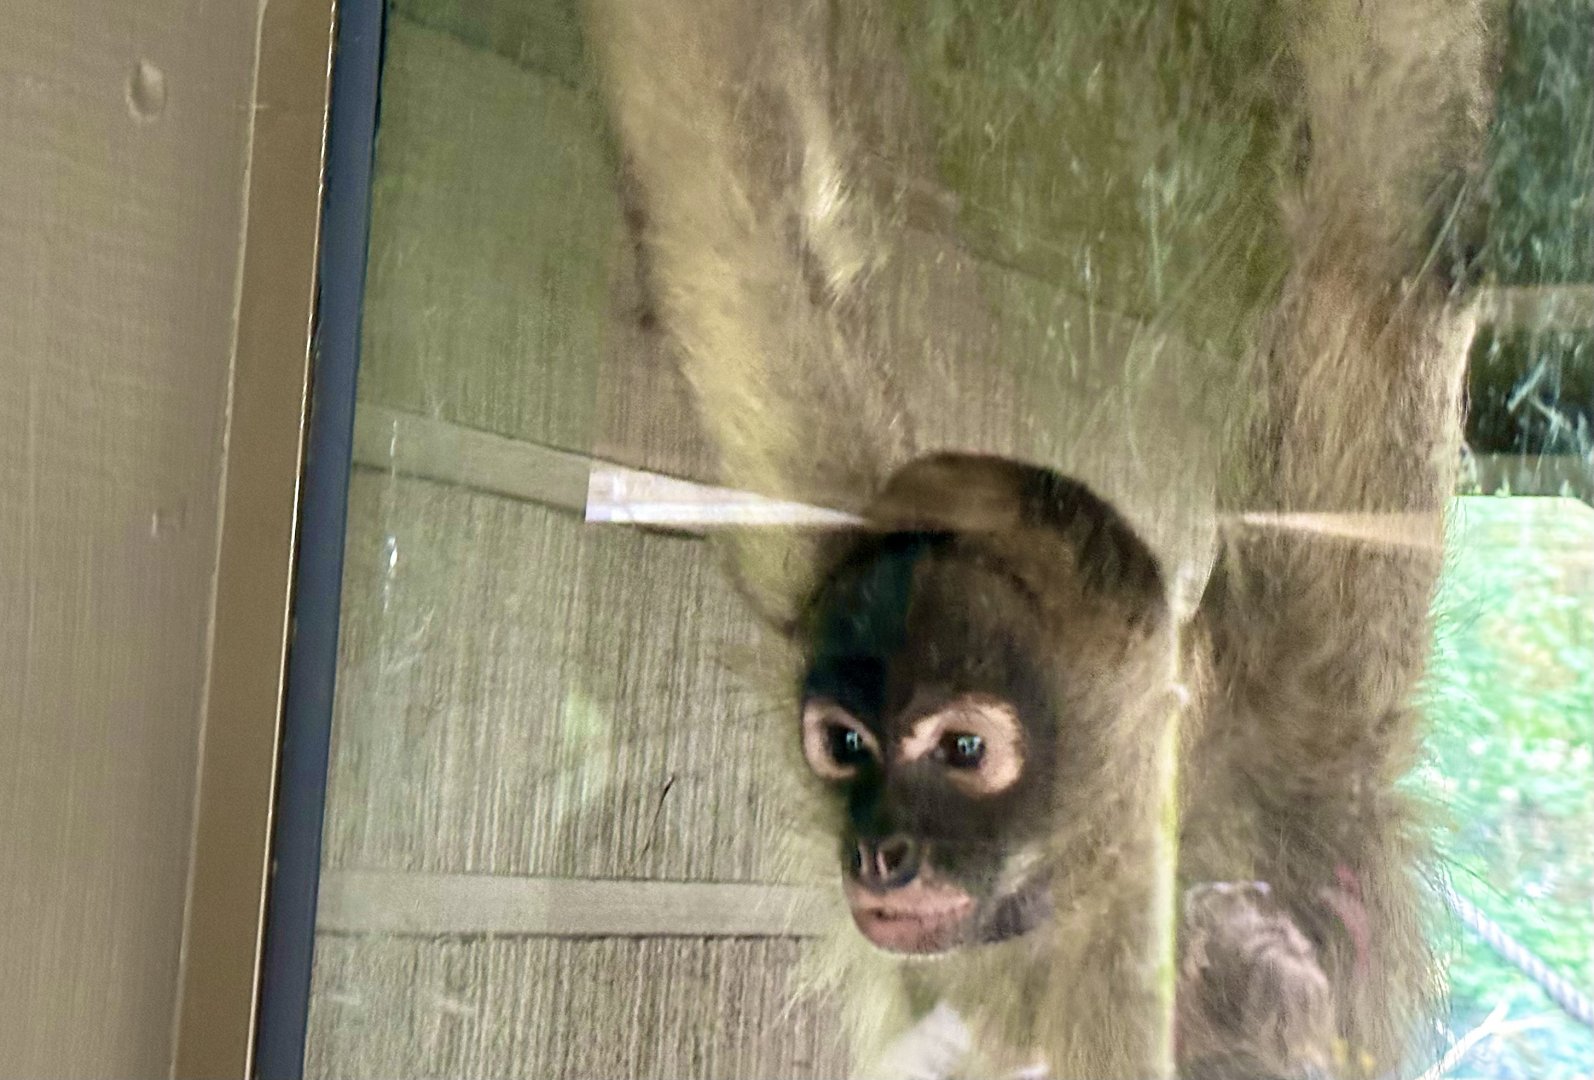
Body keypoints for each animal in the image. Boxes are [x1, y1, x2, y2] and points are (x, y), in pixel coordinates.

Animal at [585, 0, 1492, 1076]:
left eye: (964, 748)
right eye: (844, 743)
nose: (878, 852)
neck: (1082, 891)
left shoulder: (1281, 747)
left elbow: (1381, 235)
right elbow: (737, 233)